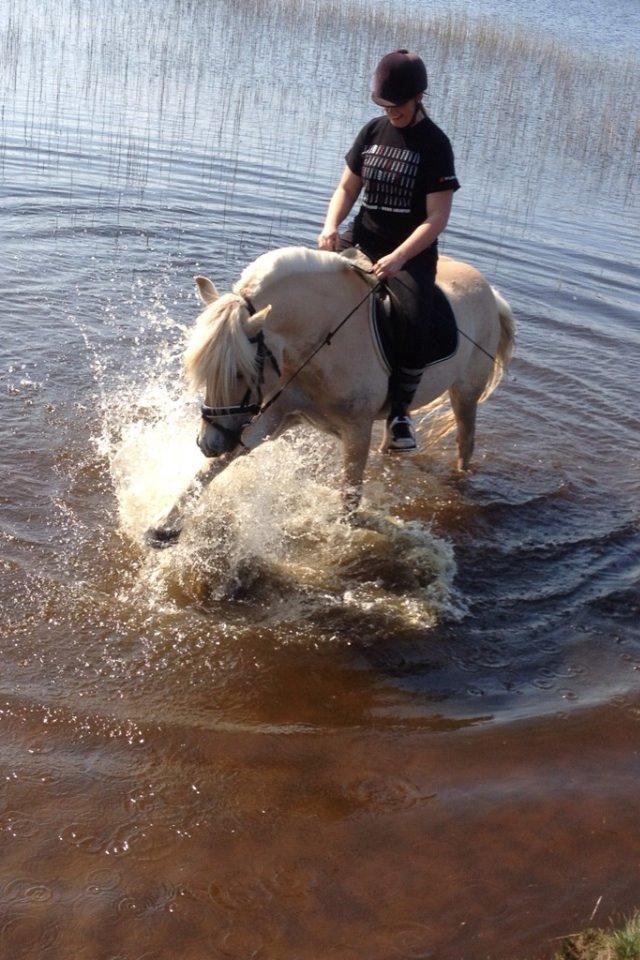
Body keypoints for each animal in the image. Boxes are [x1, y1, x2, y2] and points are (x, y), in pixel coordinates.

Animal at [146, 246, 516, 548]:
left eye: (241, 371)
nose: (207, 443)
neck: (323, 339)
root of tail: (490, 291)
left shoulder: (356, 430)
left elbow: (349, 498)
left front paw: (345, 543)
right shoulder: (274, 416)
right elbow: (214, 468)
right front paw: (164, 526)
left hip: (465, 393)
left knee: (465, 442)